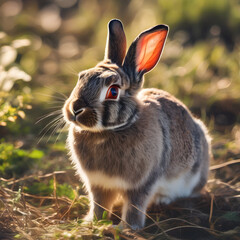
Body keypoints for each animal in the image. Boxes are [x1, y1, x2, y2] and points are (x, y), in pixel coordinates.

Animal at [62, 19, 211, 231]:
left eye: (113, 91)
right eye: (81, 77)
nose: (75, 109)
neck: (111, 130)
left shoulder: (142, 183)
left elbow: (135, 205)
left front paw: (125, 228)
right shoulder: (98, 184)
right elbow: (99, 204)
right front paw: (92, 222)